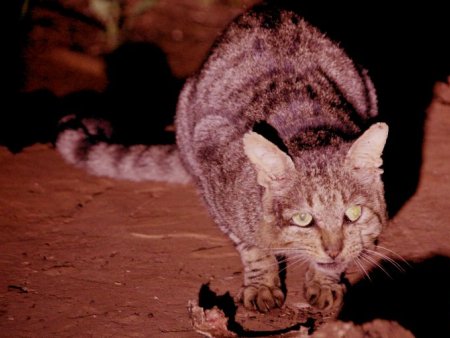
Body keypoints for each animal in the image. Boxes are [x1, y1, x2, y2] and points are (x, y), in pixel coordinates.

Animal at [57, 5, 386, 312]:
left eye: (354, 213)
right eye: (303, 219)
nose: (333, 250)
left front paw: (325, 279)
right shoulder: (211, 160)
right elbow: (252, 247)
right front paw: (263, 283)